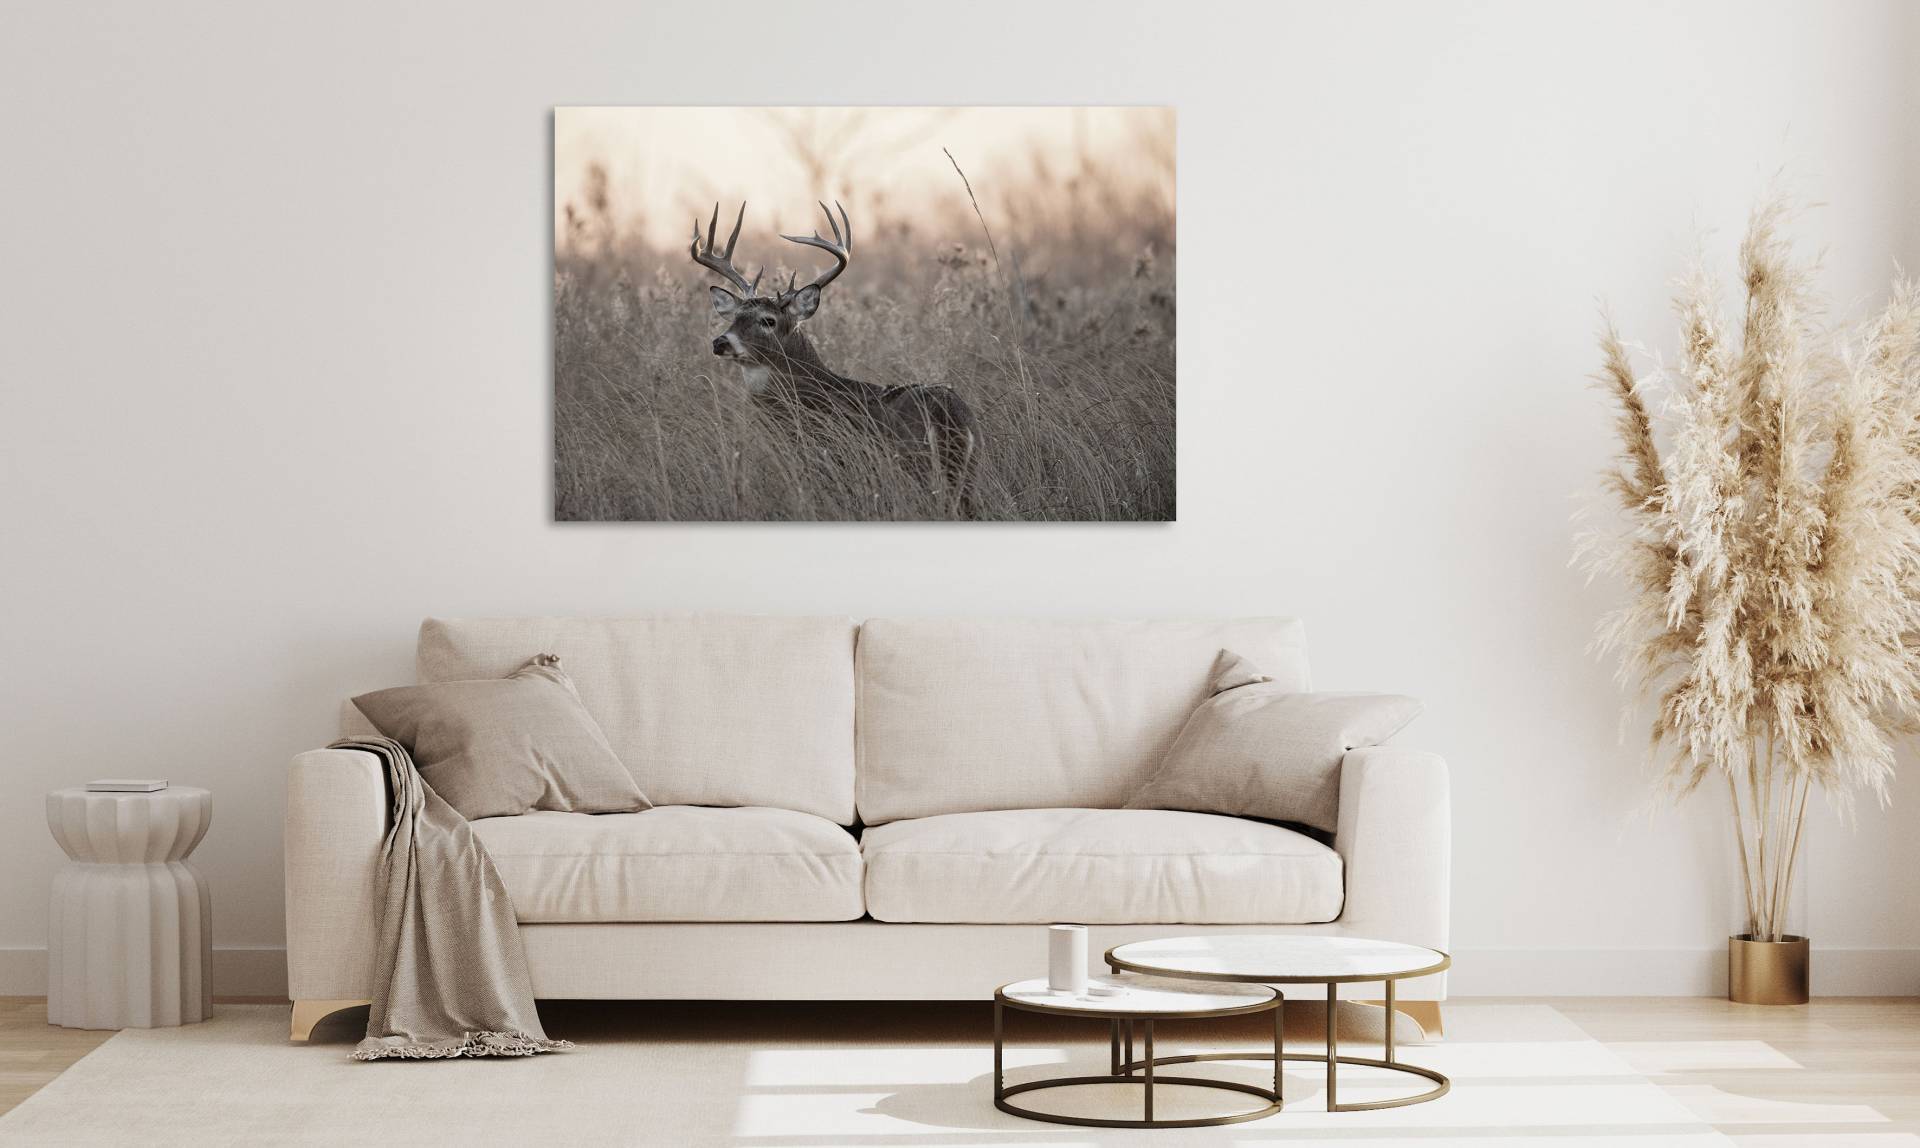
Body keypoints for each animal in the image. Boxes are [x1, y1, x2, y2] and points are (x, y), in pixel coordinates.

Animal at [691, 201, 981, 519]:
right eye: (734, 318)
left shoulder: (828, 461)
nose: (720, 342)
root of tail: (946, 417)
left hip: (915, 466)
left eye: (768, 320)